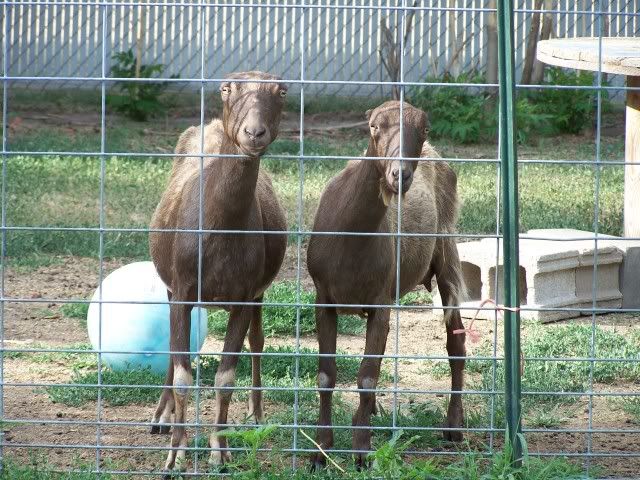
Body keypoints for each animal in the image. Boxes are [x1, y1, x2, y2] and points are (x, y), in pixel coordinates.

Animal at [148, 71, 288, 473]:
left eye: (282, 90)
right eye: (227, 88)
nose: (253, 132)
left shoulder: (244, 293)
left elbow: (226, 377)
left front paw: (220, 450)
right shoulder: (182, 289)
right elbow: (183, 374)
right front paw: (175, 454)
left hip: (259, 292)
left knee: (257, 342)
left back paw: (257, 414)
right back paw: (161, 417)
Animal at [306, 100, 466, 468]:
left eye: (424, 128)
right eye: (374, 126)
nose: (400, 175)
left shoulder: (380, 301)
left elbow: (366, 377)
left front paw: (362, 451)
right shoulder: (324, 298)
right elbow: (326, 375)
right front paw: (320, 451)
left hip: (447, 247)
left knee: (456, 344)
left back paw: (453, 427)